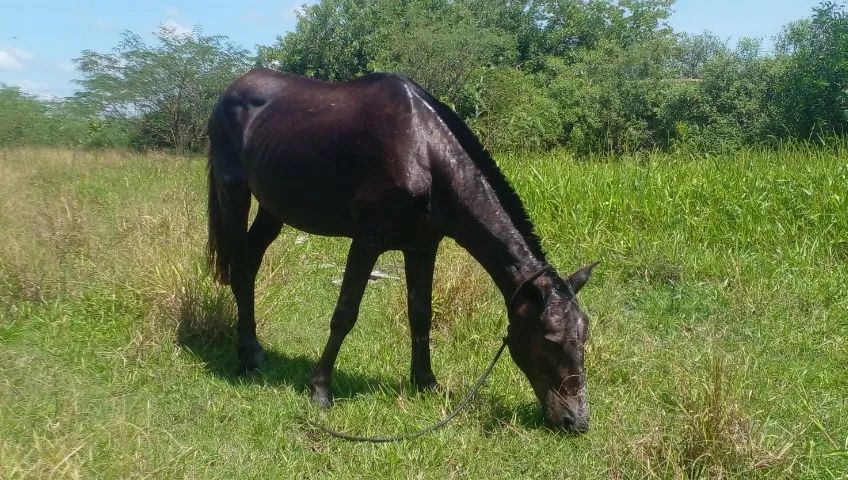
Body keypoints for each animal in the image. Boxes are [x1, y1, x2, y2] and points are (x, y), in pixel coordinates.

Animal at [206, 68, 596, 433]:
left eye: (584, 336)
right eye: (550, 340)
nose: (576, 422)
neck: (423, 152)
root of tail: (232, 89)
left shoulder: (422, 246)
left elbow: (420, 314)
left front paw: (426, 382)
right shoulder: (368, 240)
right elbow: (345, 314)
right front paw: (320, 389)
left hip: (273, 209)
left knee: (250, 263)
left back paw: (255, 351)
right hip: (234, 193)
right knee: (239, 267)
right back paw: (246, 358)